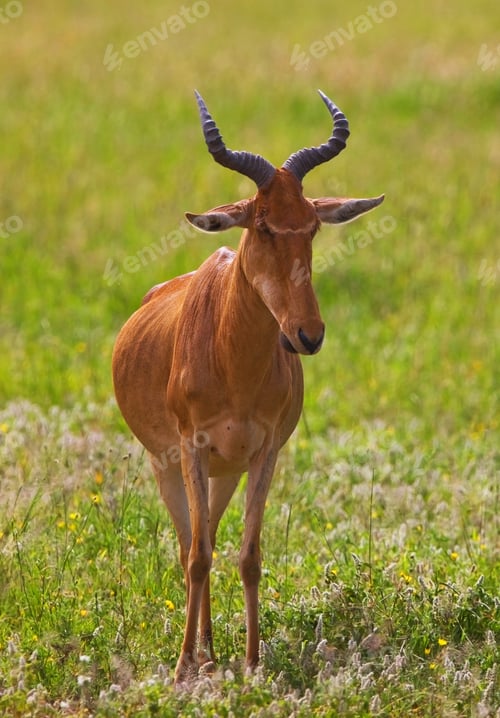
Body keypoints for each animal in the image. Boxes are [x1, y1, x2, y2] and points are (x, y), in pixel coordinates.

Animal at [112, 90, 384, 683]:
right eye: (261, 225)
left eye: (311, 225)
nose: (307, 334)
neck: (232, 359)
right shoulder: (190, 449)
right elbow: (195, 557)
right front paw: (181, 669)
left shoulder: (264, 454)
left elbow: (249, 556)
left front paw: (254, 663)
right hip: (168, 466)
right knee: (191, 544)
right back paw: (200, 656)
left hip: (226, 474)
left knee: (212, 536)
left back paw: (215, 651)